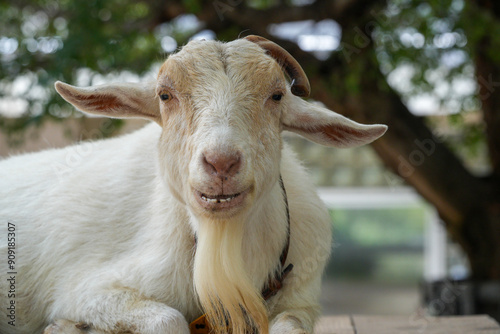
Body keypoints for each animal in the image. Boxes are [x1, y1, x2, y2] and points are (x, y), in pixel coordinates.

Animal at [0, 36, 386, 334]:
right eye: (165, 95)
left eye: (276, 96)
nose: (221, 162)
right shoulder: (84, 290)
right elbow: (168, 319)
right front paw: (70, 326)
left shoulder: (299, 300)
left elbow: (290, 325)